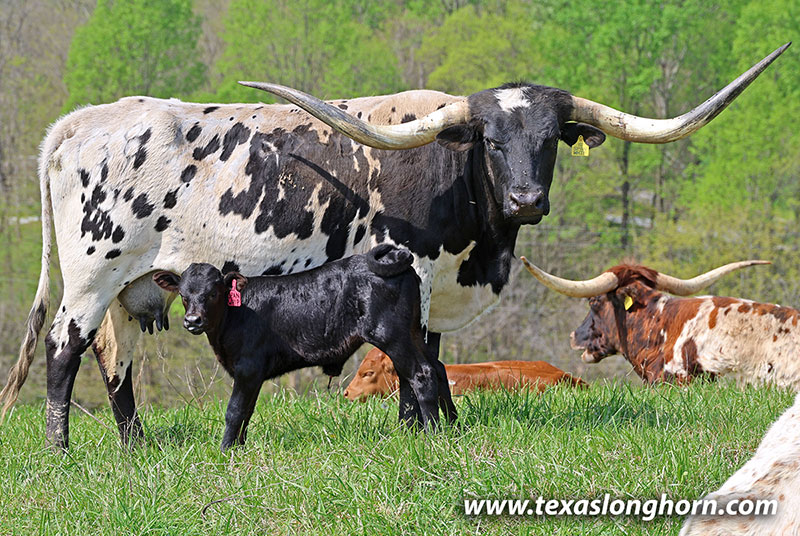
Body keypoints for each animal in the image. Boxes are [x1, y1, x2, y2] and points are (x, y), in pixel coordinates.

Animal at [152, 245, 442, 448]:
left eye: (213, 293)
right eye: (183, 295)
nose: (192, 320)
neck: (232, 317)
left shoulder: (247, 368)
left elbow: (234, 411)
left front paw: (225, 450)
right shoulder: (253, 375)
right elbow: (247, 411)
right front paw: (238, 448)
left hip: (392, 335)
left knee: (422, 375)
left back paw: (435, 435)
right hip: (415, 332)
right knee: (437, 368)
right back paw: (450, 427)